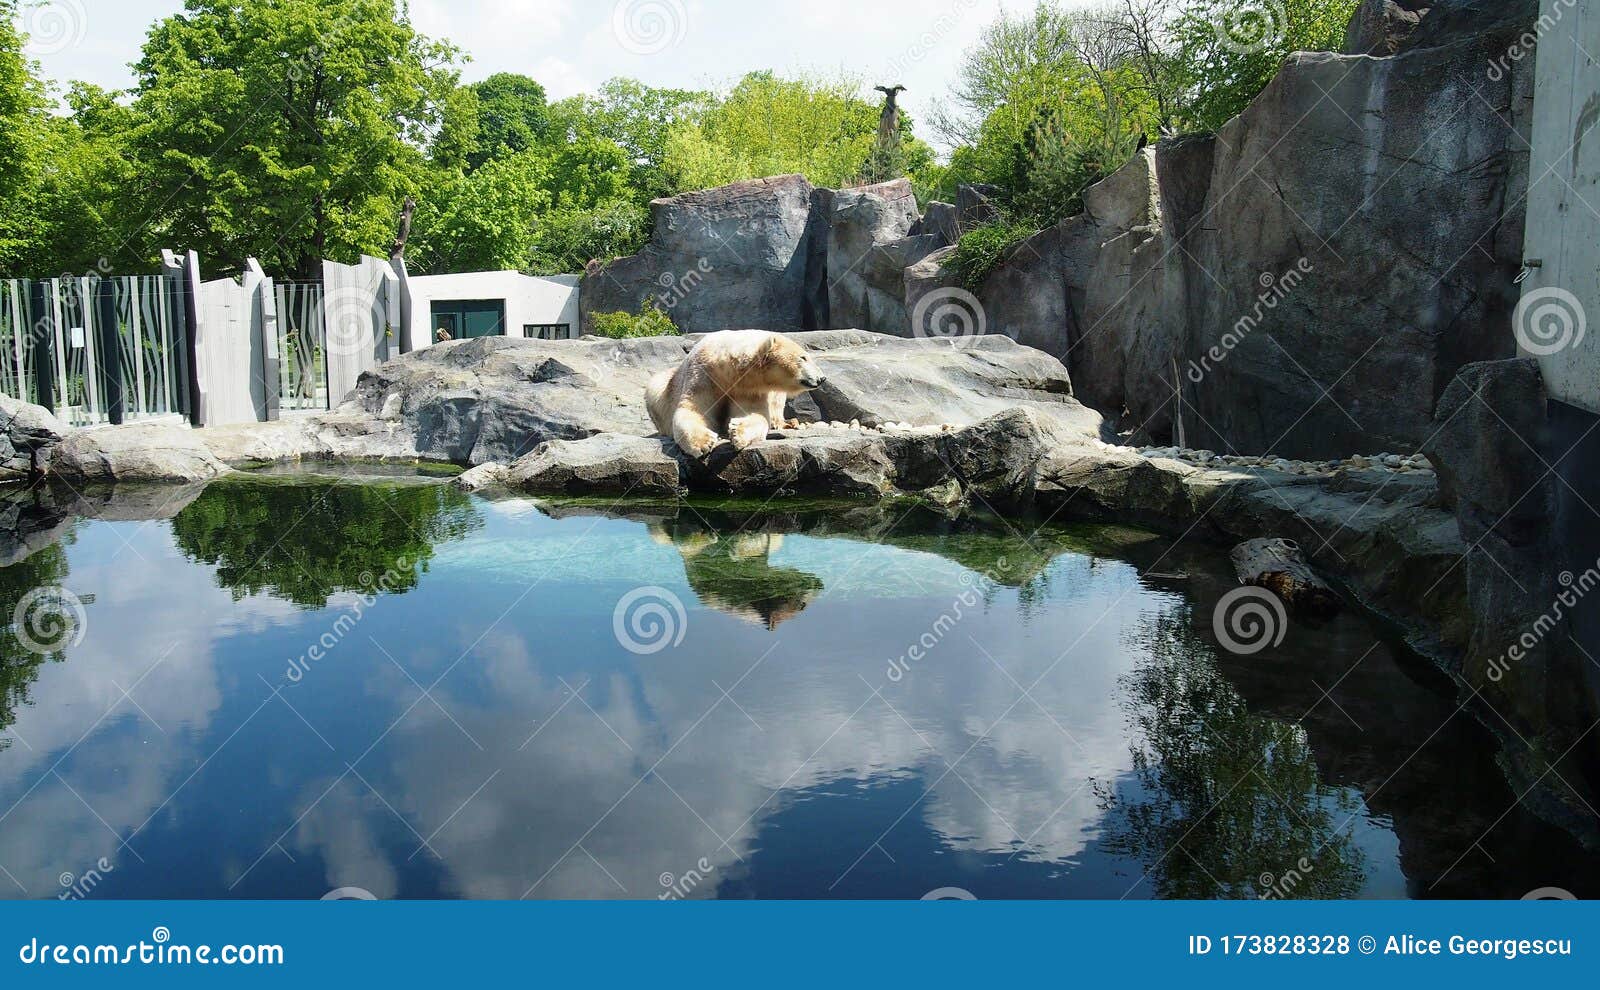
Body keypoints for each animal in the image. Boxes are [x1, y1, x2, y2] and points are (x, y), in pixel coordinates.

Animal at [646, 331, 825, 457]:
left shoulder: (749, 388)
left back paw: (790, 423)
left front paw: (737, 432)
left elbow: (756, 414)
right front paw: (705, 443)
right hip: (663, 387)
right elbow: (693, 411)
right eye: (803, 357)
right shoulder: (703, 376)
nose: (822, 378)